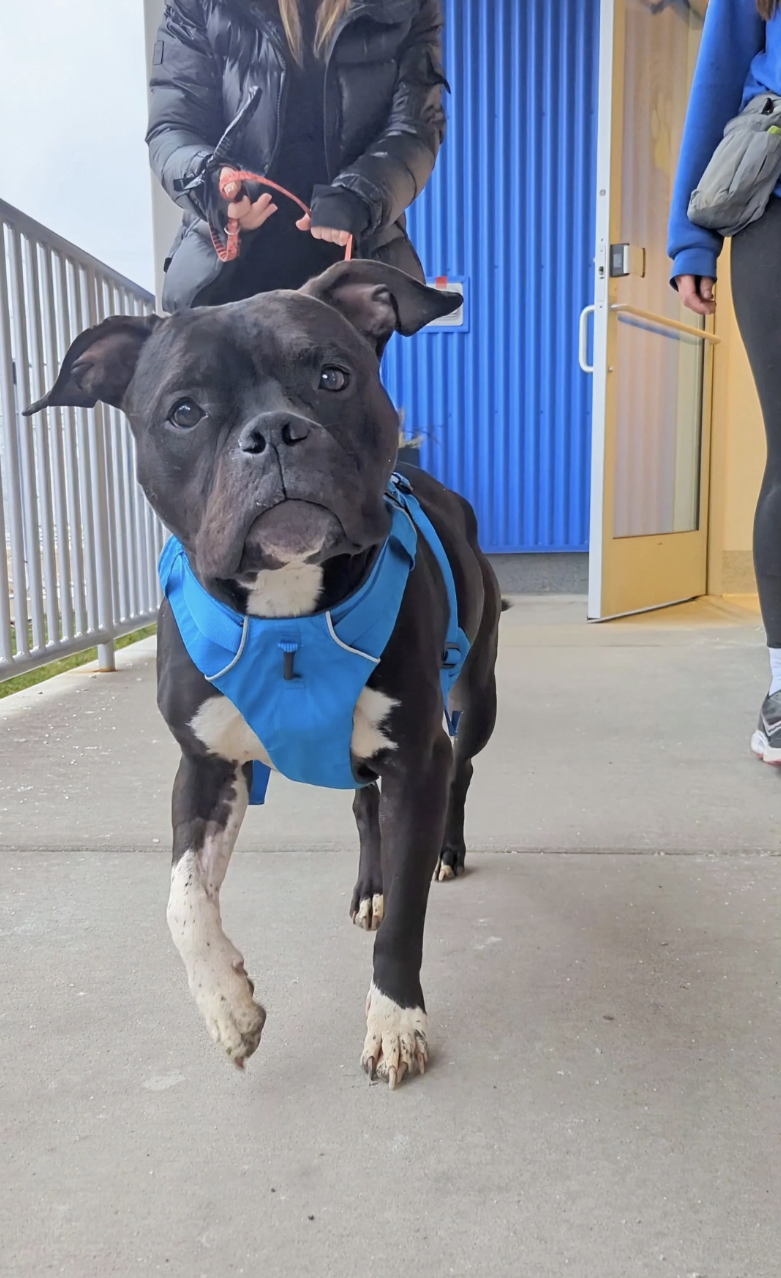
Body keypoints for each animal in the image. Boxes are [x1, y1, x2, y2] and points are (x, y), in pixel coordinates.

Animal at [29, 256, 501, 1088]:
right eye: (184, 412)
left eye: (333, 376)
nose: (274, 432)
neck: (288, 613)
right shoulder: (205, 765)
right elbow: (182, 901)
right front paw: (229, 1008)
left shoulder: (417, 757)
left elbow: (408, 916)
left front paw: (395, 1021)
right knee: (364, 810)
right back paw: (369, 888)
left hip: (473, 700)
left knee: (461, 773)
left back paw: (445, 852)